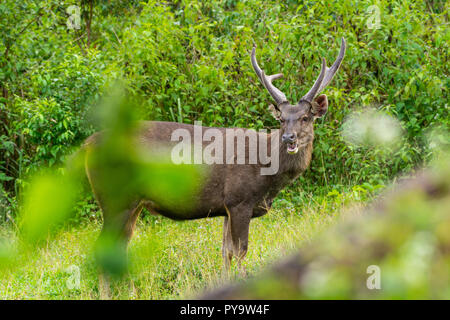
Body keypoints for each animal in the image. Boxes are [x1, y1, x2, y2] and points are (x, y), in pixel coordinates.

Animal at [82, 37, 346, 298]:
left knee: (121, 248)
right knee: (103, 248)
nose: (289, 138)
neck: (268, 176)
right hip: (115, 198)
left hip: (131, 203)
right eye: (281, 119)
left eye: (305, 117)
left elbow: (225, 251)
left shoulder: (226, 207)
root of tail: (87, 145)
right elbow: (240, 251)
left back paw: (132, 292)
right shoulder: (240, 199)